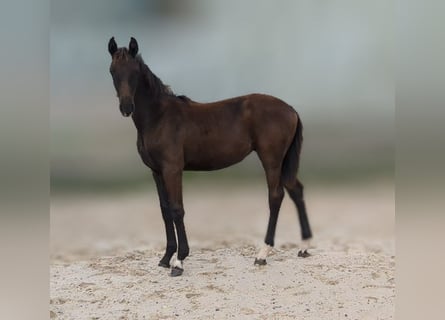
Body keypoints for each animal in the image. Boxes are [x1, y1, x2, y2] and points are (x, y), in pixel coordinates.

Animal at [107, 38, 312, 278]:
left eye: (134, 72)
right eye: (112, 71)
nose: (126, 107)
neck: (159, 117)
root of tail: (291, 109)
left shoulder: (172, 169)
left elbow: (177, 209)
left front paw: (179, 261)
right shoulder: (156, 172)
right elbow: (165, 210)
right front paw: (166, 258)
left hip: (271, 160)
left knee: (276, 196)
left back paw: (262, 254)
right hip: (284, 162)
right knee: (296, 190)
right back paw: (304, 247)